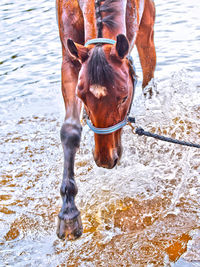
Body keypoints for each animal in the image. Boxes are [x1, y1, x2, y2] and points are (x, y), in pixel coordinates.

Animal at [55, 0, 155, 242]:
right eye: (82, 97)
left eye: (124, 97)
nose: (105, 160)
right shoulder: (70, 58)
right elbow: (70, 131)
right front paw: (68, 213)